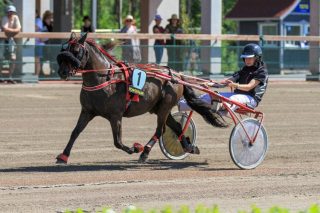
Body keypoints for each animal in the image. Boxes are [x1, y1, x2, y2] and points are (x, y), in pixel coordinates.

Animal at [55, 32, 225, 163]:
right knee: (176, 127)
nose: (63, 72)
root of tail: (176, 74)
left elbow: (117, 142)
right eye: (64, 49)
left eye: (77, 50)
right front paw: (63, 156)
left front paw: (134, 148)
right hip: (159, 108)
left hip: (165, 107)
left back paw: (145, 151)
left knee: (160, 130)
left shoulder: (115, 115)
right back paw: (189, 146)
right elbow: (75, 132)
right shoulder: (87, 111)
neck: (104, 79)